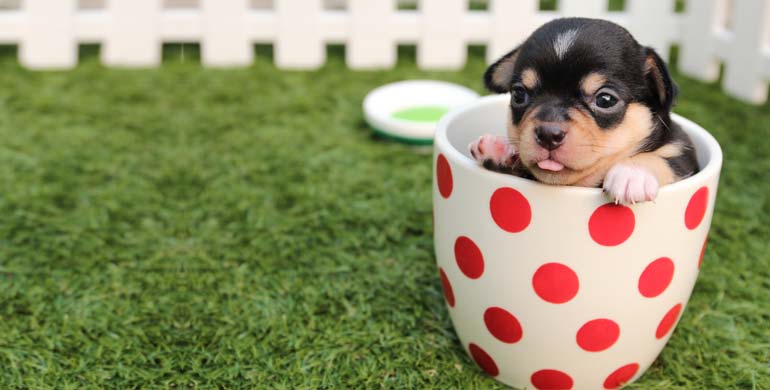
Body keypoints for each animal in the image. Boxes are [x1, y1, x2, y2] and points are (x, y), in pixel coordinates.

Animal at [468, 17, 696, 204]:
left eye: (605, 100)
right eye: (518, 95)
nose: (548, 134)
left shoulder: (684, 156)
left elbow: (665, 159)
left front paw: (632, 173)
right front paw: (497, 150)